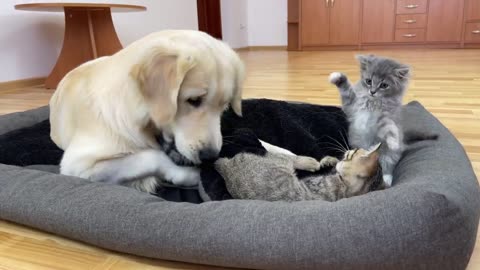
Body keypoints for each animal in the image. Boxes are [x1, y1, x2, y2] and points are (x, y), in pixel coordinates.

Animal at [216, 143, 384, 202]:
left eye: (352, 153)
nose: (348, 149)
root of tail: (226, 168)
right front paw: (329, 160)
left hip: (280, 162)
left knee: (290, 157)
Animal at [328, 53, 410, 187]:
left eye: (384, 85)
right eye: (368, 81)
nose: (372, 92)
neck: (371, 103)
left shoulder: (384, 117)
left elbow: (389, 126)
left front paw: (393, 141)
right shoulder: (351, 106)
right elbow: (346, 90)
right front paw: (337, 77)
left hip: (388, 156)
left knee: (387, 168)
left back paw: (387, 179)